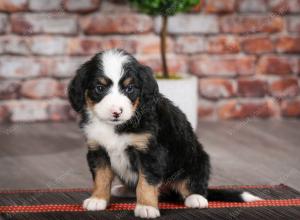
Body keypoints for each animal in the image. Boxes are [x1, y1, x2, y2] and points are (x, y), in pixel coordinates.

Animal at [67, 48, 260, 218]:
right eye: (99, 88)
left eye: (129, 89)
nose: (116, 112)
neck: (117, 126)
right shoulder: (97, 149)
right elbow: (101, 177)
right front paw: (98, 199)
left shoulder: (151, 152)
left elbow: (146, 182)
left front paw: (146, 207)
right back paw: (124, 189)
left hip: (197, 159)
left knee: (194, 185)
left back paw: (196, 198)